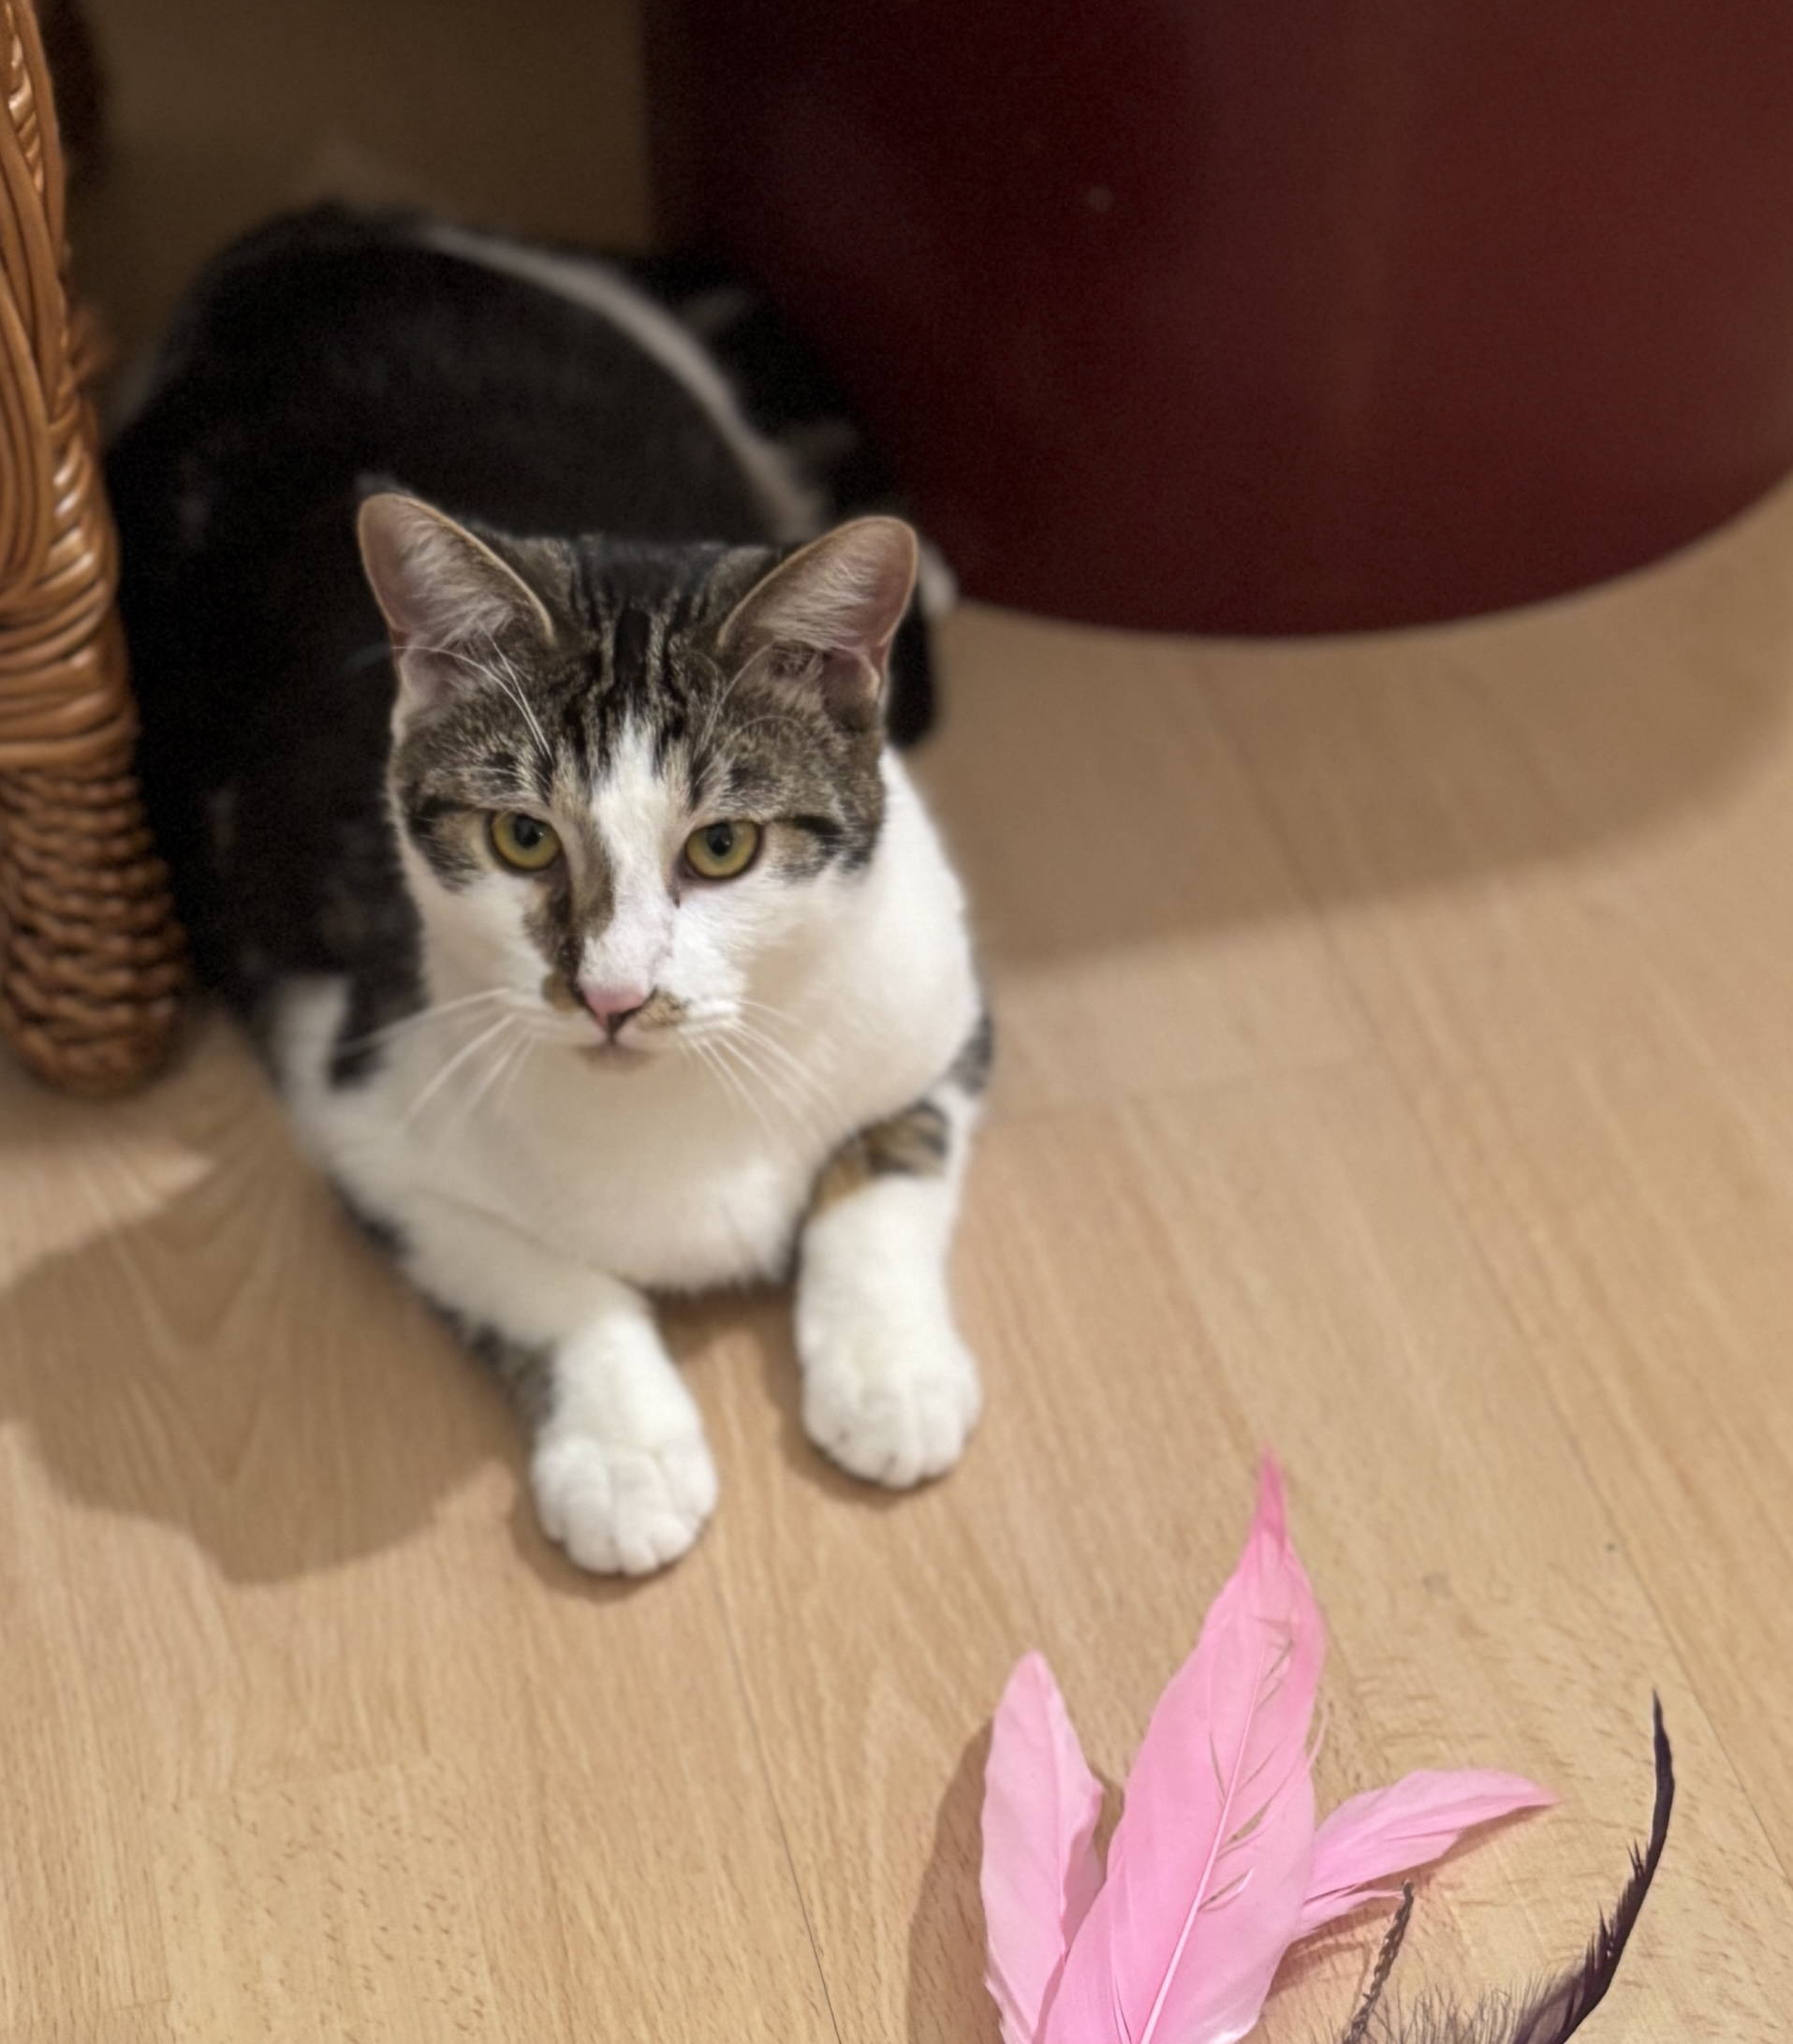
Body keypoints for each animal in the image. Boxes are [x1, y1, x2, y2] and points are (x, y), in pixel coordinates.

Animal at [109, 206, 990, 1575]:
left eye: (723, 848)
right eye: (522, 837)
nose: (613, 995)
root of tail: (312, 236)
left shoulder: (934, 1006)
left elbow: (886, 1167)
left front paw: (888, 1374)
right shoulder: (359, 1094)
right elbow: (541, 1280)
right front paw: (624, 1452)